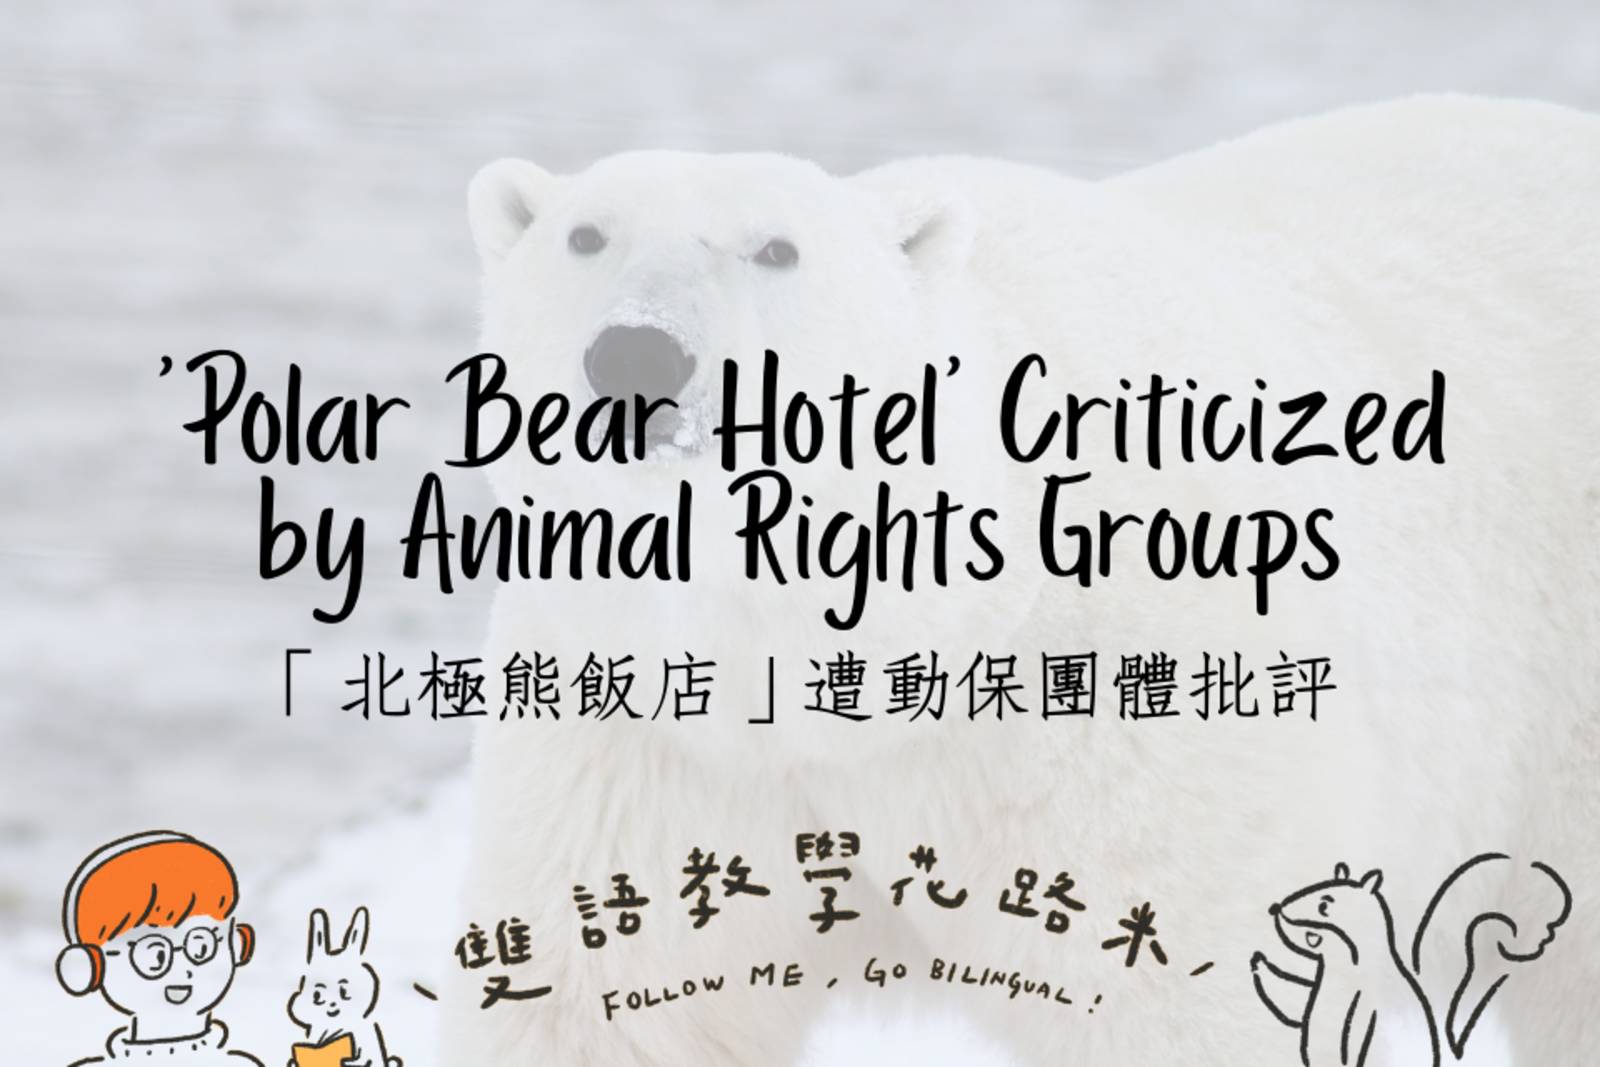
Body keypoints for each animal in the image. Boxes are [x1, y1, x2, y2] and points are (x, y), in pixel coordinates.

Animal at [439, 96, 1600, 1066]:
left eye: (777, 248)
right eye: (586, 235)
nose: (638, 356)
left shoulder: (1113, 705)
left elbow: (1174, 1000)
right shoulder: (652, 741)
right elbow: (607, 1003)